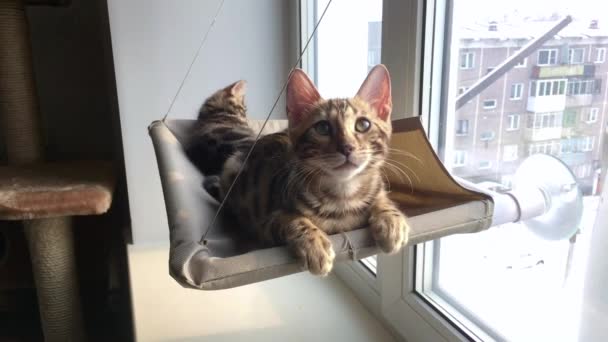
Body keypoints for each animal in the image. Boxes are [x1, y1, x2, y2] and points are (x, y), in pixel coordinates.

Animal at [209, 65, 408, 276]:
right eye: (322, 128)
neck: (343, 197)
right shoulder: (267, 223)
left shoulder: (377, 188)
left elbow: (381, 199)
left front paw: (392, 221)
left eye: (363, 124)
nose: (347, 147)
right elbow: (292, 219)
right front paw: (314, 244)